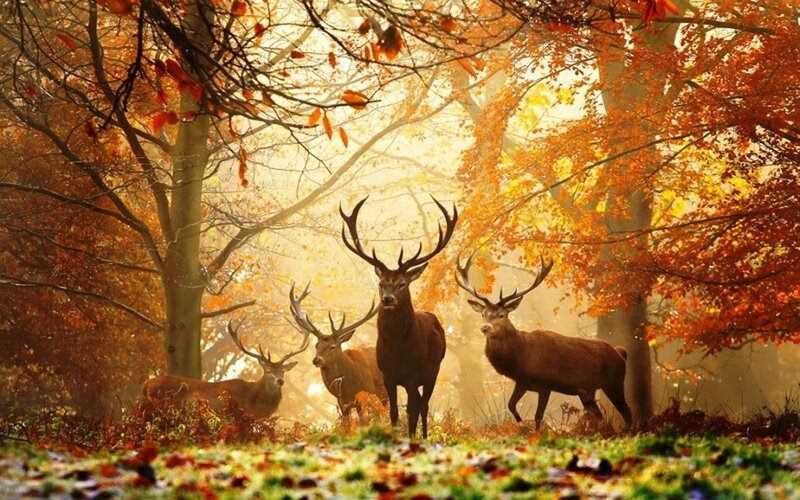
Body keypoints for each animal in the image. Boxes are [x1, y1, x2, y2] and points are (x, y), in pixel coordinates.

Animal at [288, 283, 388, 428]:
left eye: (332, 346)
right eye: (316, 345)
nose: (316, 360)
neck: (348, 387)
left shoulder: (364, 395)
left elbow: (364, 422)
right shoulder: (342, 403)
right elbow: (345, 425)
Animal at [340, 196, 456, 439]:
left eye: (403, 283)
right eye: (381, 283)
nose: (387, 299)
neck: (399, 351)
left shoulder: (414, 375)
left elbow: (411, 411)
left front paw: (411, 438)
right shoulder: (388, 376)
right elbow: (393, 412)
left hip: (433, 371)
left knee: (423, 406)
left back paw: (424, 436)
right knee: (420, 404)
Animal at [455, 254, 632, 430]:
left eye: (501, 315)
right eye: (483, 314)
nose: (485, 327)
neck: (521, 358)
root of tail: (620, 353)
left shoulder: (545, 384)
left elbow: (538, 416)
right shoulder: (522, 382)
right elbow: (511, 405)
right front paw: (521, 425)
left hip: (614, 381)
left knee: (627, 411)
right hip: (587, 391)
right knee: (600, 416)